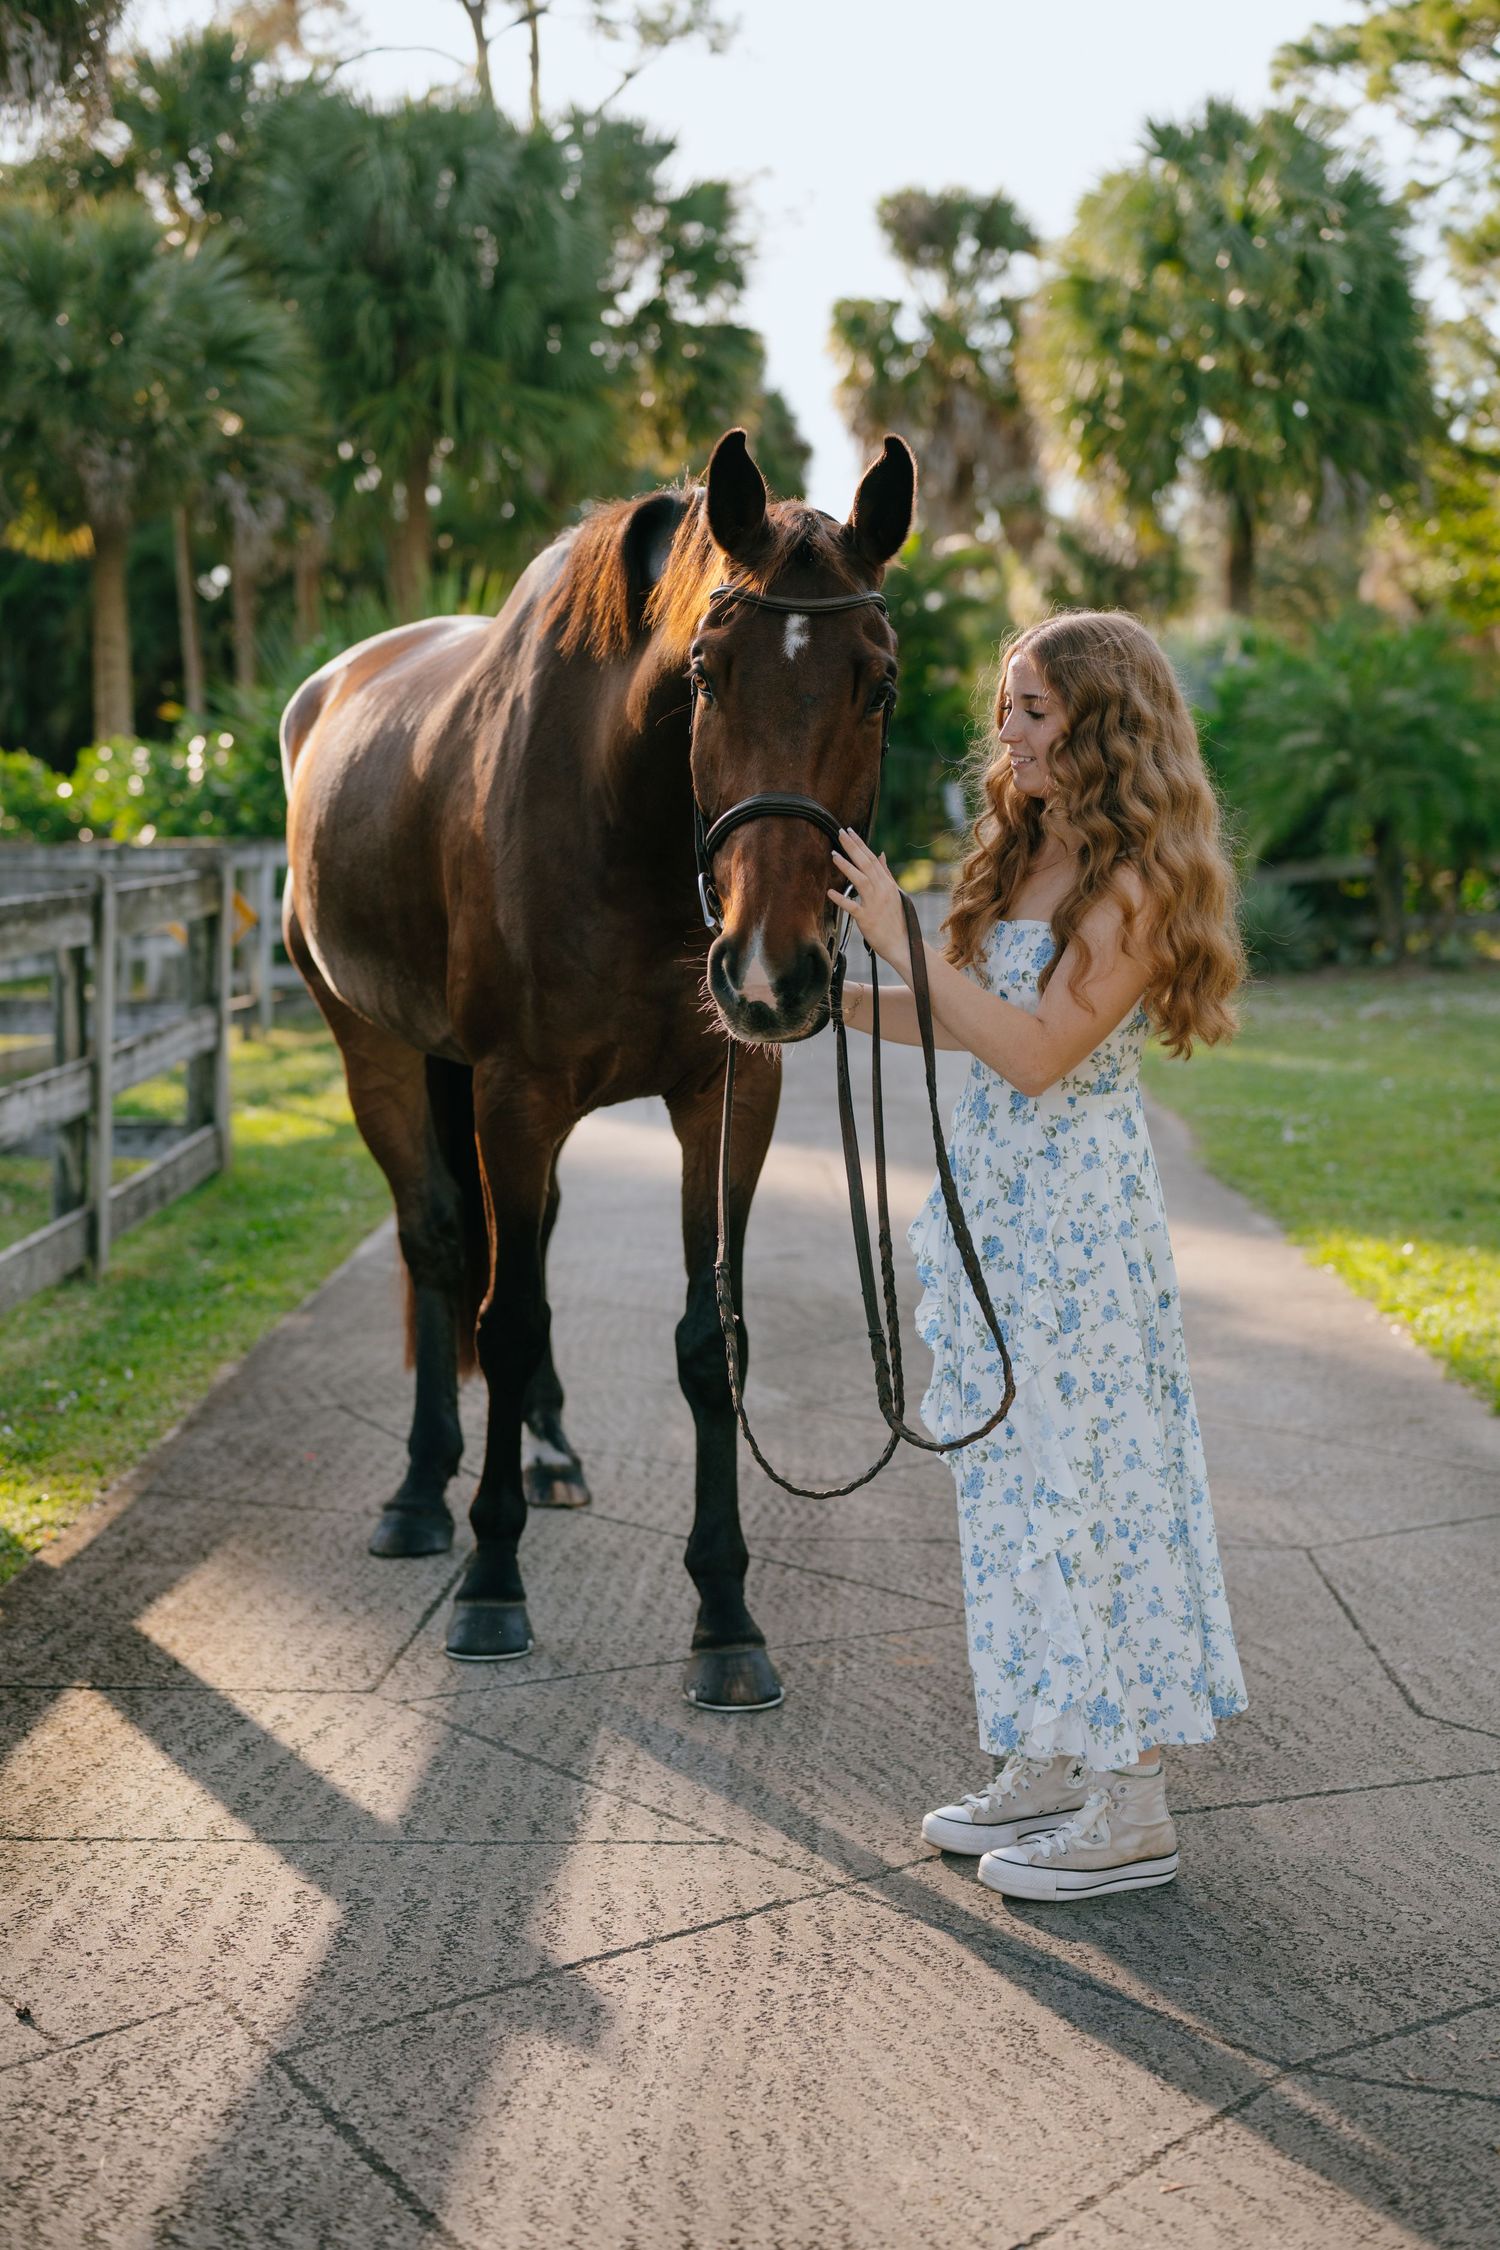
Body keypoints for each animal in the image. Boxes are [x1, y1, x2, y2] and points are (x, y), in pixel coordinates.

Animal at [279, 425, 915, 1709]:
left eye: (876, 683)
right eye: (708, 673)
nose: (773, 970)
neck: (624, 821)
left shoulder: (729, 1096)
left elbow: (710, 1343)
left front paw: (725, 1614)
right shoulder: (514, 1095)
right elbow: (507, 1318)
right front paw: (490, 1582)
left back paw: (551, 1447)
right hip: (377, 1050)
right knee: (440, 1245)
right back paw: (422, 1493)